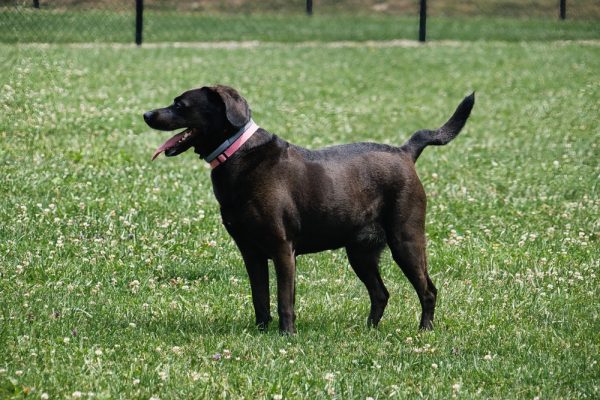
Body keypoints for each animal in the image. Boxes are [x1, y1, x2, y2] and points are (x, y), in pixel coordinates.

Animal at [144, 86, 474, 332]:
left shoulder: (282, 249)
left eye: (180, 104)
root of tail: (405, 152)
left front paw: (286, 335)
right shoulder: (251, 253)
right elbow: (260, 297)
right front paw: (261, 331)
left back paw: (424, 330)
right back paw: (369, 329)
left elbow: (283, 300)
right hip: (361, 253)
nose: (146, 114)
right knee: (381, 293)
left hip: (406, 241)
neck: (237, 154)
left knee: (428, 290)